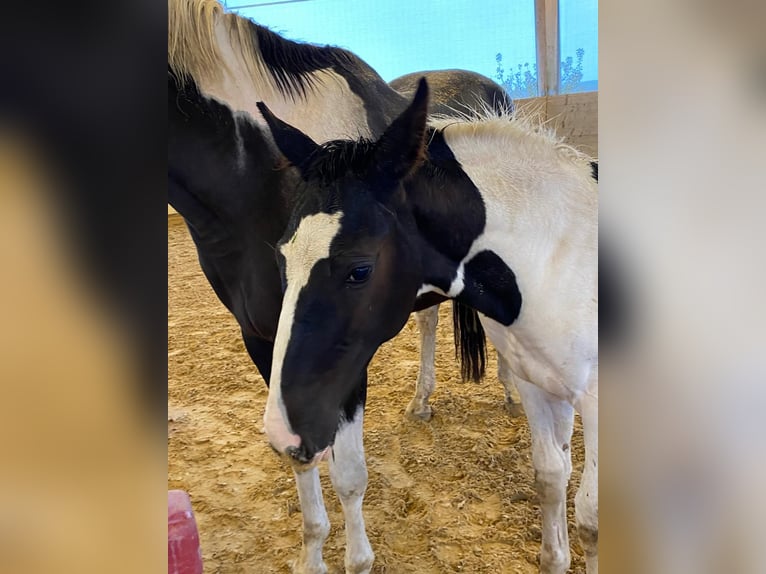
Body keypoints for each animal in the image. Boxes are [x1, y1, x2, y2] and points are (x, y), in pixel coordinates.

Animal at [169, 2, 516, 572]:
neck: (262, 173)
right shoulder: (267, 343)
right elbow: (302, 458)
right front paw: (313, 555)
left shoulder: (347, 352)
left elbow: (349, 476)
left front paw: (357, 559)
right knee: (429, 319)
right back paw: (422, 401)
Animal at [258, 77, 600, 574]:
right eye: (283, 256)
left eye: (359, 269)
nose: (284, 432)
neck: (560, 260)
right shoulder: (537, 385)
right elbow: (551, 476)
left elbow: (591, 516)